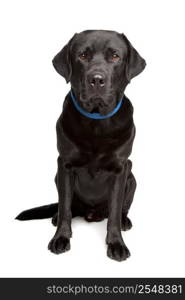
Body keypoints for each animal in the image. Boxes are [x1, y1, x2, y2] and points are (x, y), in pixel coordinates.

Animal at [16, 29, 146, 262]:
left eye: (115, 56)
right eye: (83, 56)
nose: (97, 79)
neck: (97, 122)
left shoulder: (120, 168)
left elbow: (114, 210)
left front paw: (116, 243)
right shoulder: (65, 165)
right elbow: (66, 208)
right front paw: (60, 238)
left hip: (132, 178)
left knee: (121, 209)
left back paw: (125, 221)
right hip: (57, 177)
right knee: (66, 206)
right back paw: (55, 216)